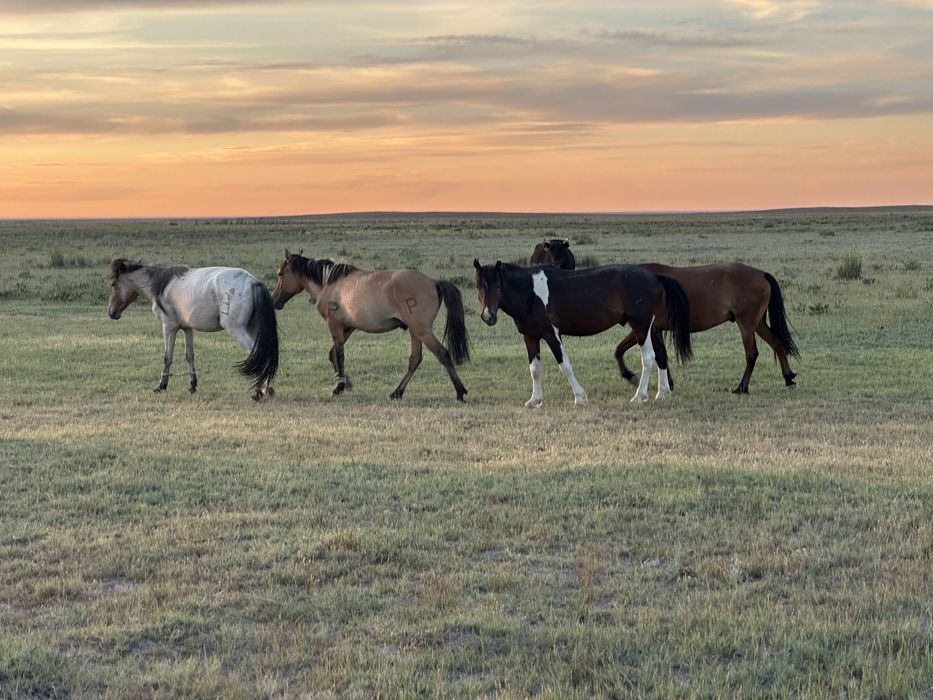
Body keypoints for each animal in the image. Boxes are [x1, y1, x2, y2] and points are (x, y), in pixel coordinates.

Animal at [107, 258, 279, 400]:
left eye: (113, 284)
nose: (111, 312)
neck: (162, 285)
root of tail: (253, 283)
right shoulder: (187, 328)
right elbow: (189, 356)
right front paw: (192, 386)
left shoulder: (169, 327)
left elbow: (167, 357)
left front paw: (161, 386)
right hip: (254, 330)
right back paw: (266, 389)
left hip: (237, 330)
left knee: (256, 354)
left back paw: (256, 392)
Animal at [271, 251, 470, 401]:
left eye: (280, 273)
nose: (274, 300)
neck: (330, 283)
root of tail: (433, 281)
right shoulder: (348, 327)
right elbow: (333, 354)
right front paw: (345, 382)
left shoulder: (334, 324)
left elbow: (339, 355)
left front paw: (339, 386)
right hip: (415, 331)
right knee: (415, 359)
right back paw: (397, 392)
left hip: (422, 330)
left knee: (442, 353)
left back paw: (460, 391)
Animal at [473, 259, 692, 407]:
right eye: (478, 286)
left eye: (498, 285)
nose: (488, 316)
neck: (531, 292)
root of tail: (655, 276)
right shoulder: (530, 337)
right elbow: (534, 369)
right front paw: (534, 400)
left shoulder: (552, 334)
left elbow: (565, 366)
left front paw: (580, 397)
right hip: (649, 328)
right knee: (660, 355)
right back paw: (662, 393)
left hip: (640, 325)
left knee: (647, 358)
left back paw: (639, 396)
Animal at [614, 263, 799, 394]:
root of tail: (762, 274)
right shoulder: (655, 330)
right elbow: (659, 355)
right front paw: (668, 383)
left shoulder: (646, 329)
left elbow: (622, 350)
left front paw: (629, 375)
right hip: (758, 323)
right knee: (777, 343)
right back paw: (788, 377)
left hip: (746, 324)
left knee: (752, 353)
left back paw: (741, 387)